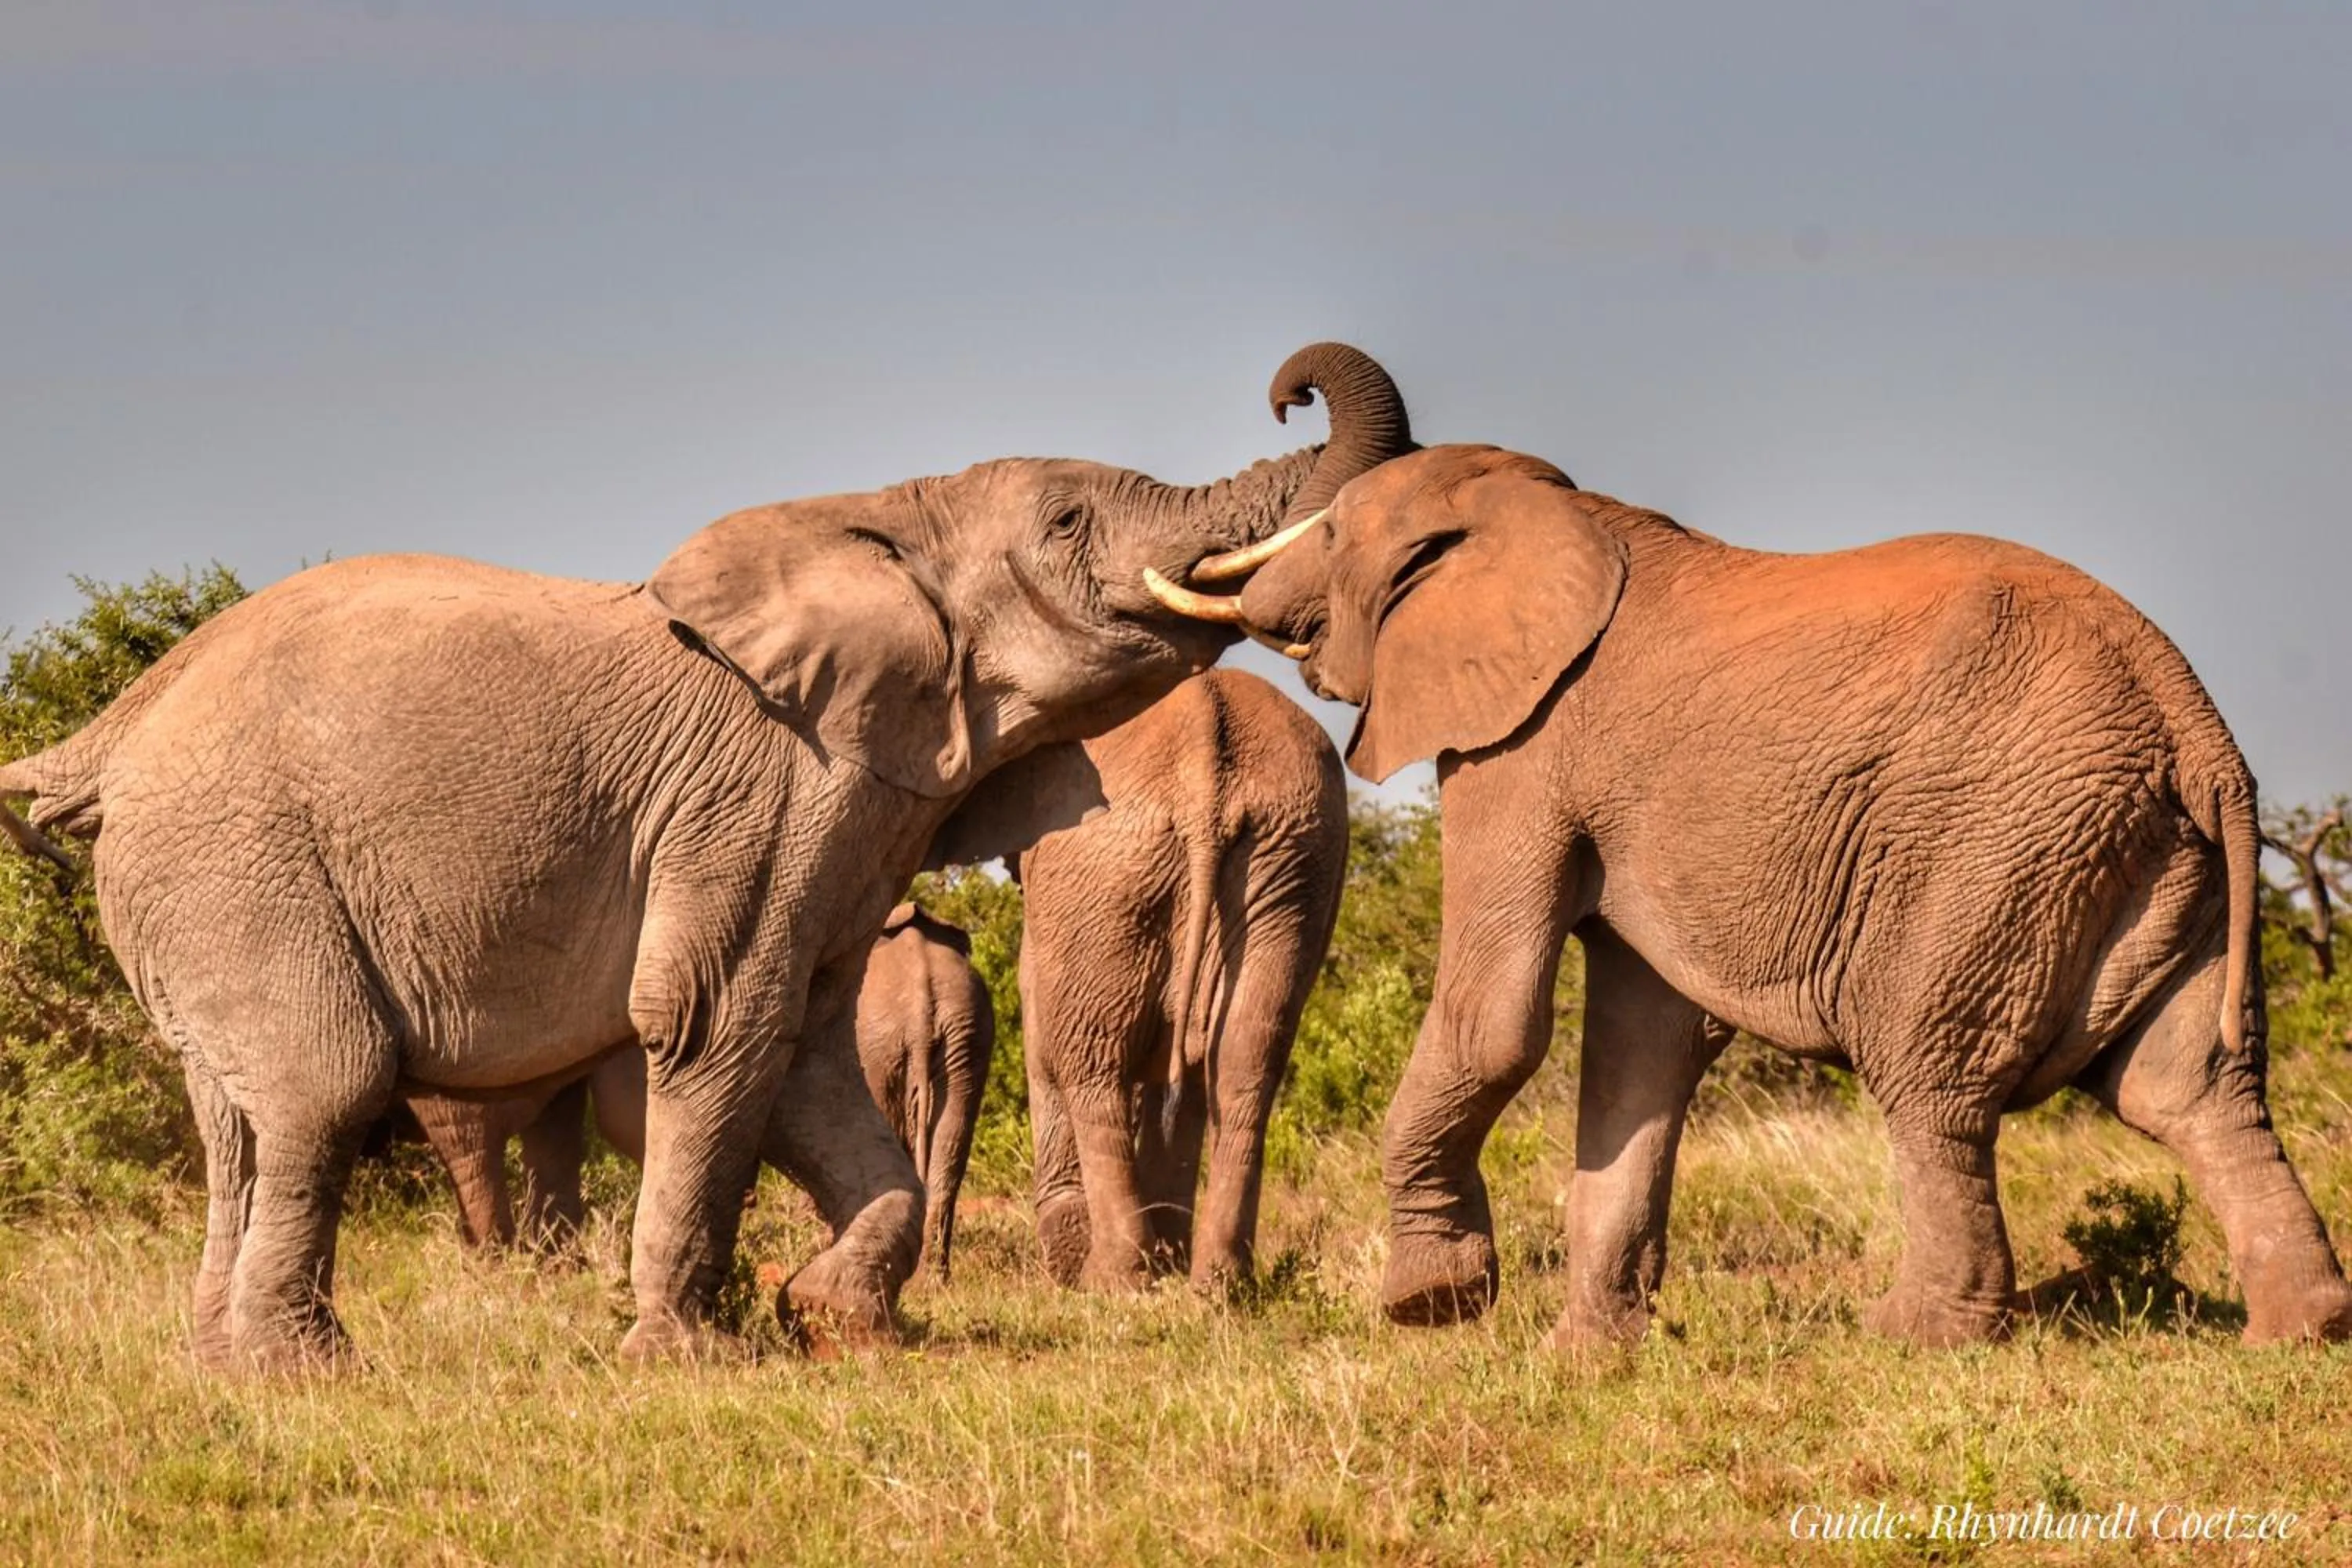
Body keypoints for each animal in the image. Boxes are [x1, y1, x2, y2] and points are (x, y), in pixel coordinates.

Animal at [1018, 667, 1346, 1294]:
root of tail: (1204, 770)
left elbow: (1044, 1045)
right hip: (1291, 863)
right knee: (1242, 1062)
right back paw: (1219, 1285)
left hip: (1107, 871)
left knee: (1089, 1063)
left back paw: (1114, 1280)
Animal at [1147, 440, 2352, 1351]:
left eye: (1333, 535)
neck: (1551, 509)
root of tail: (2191, 718)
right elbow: (1644, 1047)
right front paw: (1591, 1354)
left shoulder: (1524, 748)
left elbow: (1498, 1017)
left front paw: (1428, 1306)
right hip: (2147, 857)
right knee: (2188, 1089)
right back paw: (2303, 1329)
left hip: (1996, 845)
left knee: (1930, 1076)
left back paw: (1911, 1335)